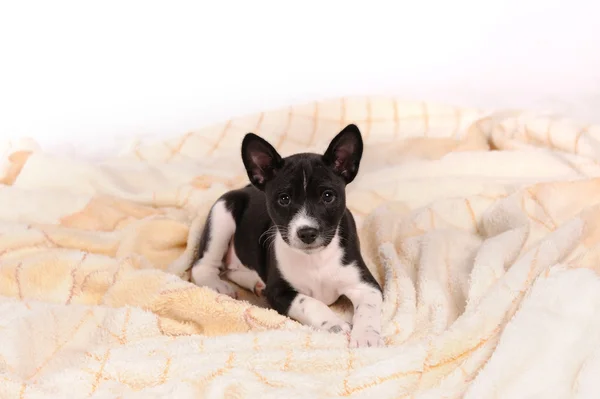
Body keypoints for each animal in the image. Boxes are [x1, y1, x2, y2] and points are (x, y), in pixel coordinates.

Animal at [188, 125, 384, 346]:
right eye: (284, 199)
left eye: (328, 196)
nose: (307, 232)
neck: (315, 259)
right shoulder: (279, 293)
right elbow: (309, 302)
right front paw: (334, 324)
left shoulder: (366, 285)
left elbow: (367, 310)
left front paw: (366, 336)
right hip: (223, 213)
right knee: (202, 266)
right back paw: (217, 285)